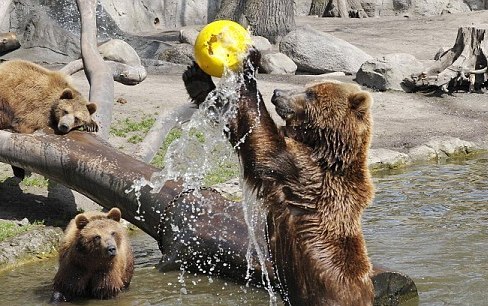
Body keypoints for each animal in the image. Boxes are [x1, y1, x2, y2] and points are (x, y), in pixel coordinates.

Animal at [185, 51, 376, 304]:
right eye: (307, 87)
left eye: (310, 93)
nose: (277, 93)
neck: (325, 148)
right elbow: (238, 127)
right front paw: (196, 77)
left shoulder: (305, 172)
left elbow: (262, 146)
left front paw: (250, 64)